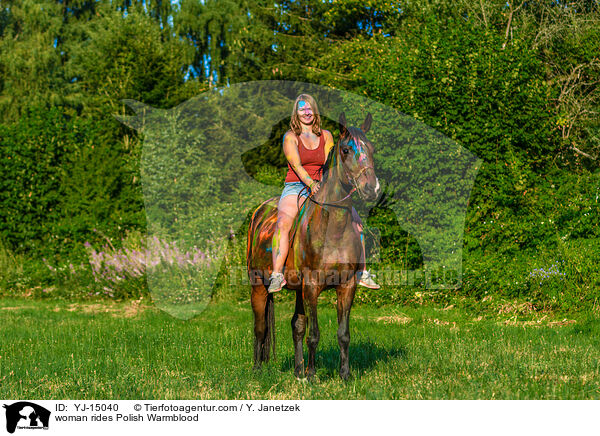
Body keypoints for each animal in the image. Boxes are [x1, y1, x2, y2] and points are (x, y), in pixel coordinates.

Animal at [245, 113, 378, 382]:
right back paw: (258, 369)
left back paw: (297, 370)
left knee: (296, 324)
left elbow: (343, 334)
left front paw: (344, 375)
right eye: (346, 150)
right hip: (259, 286)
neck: (332, 228)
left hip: (298, 290)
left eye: (371, 149)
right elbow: (314, 335)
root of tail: (258, 212)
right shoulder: (313, 286)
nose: (372, 189)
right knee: (260, 328)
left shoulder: (346, 286)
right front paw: (313, 375)